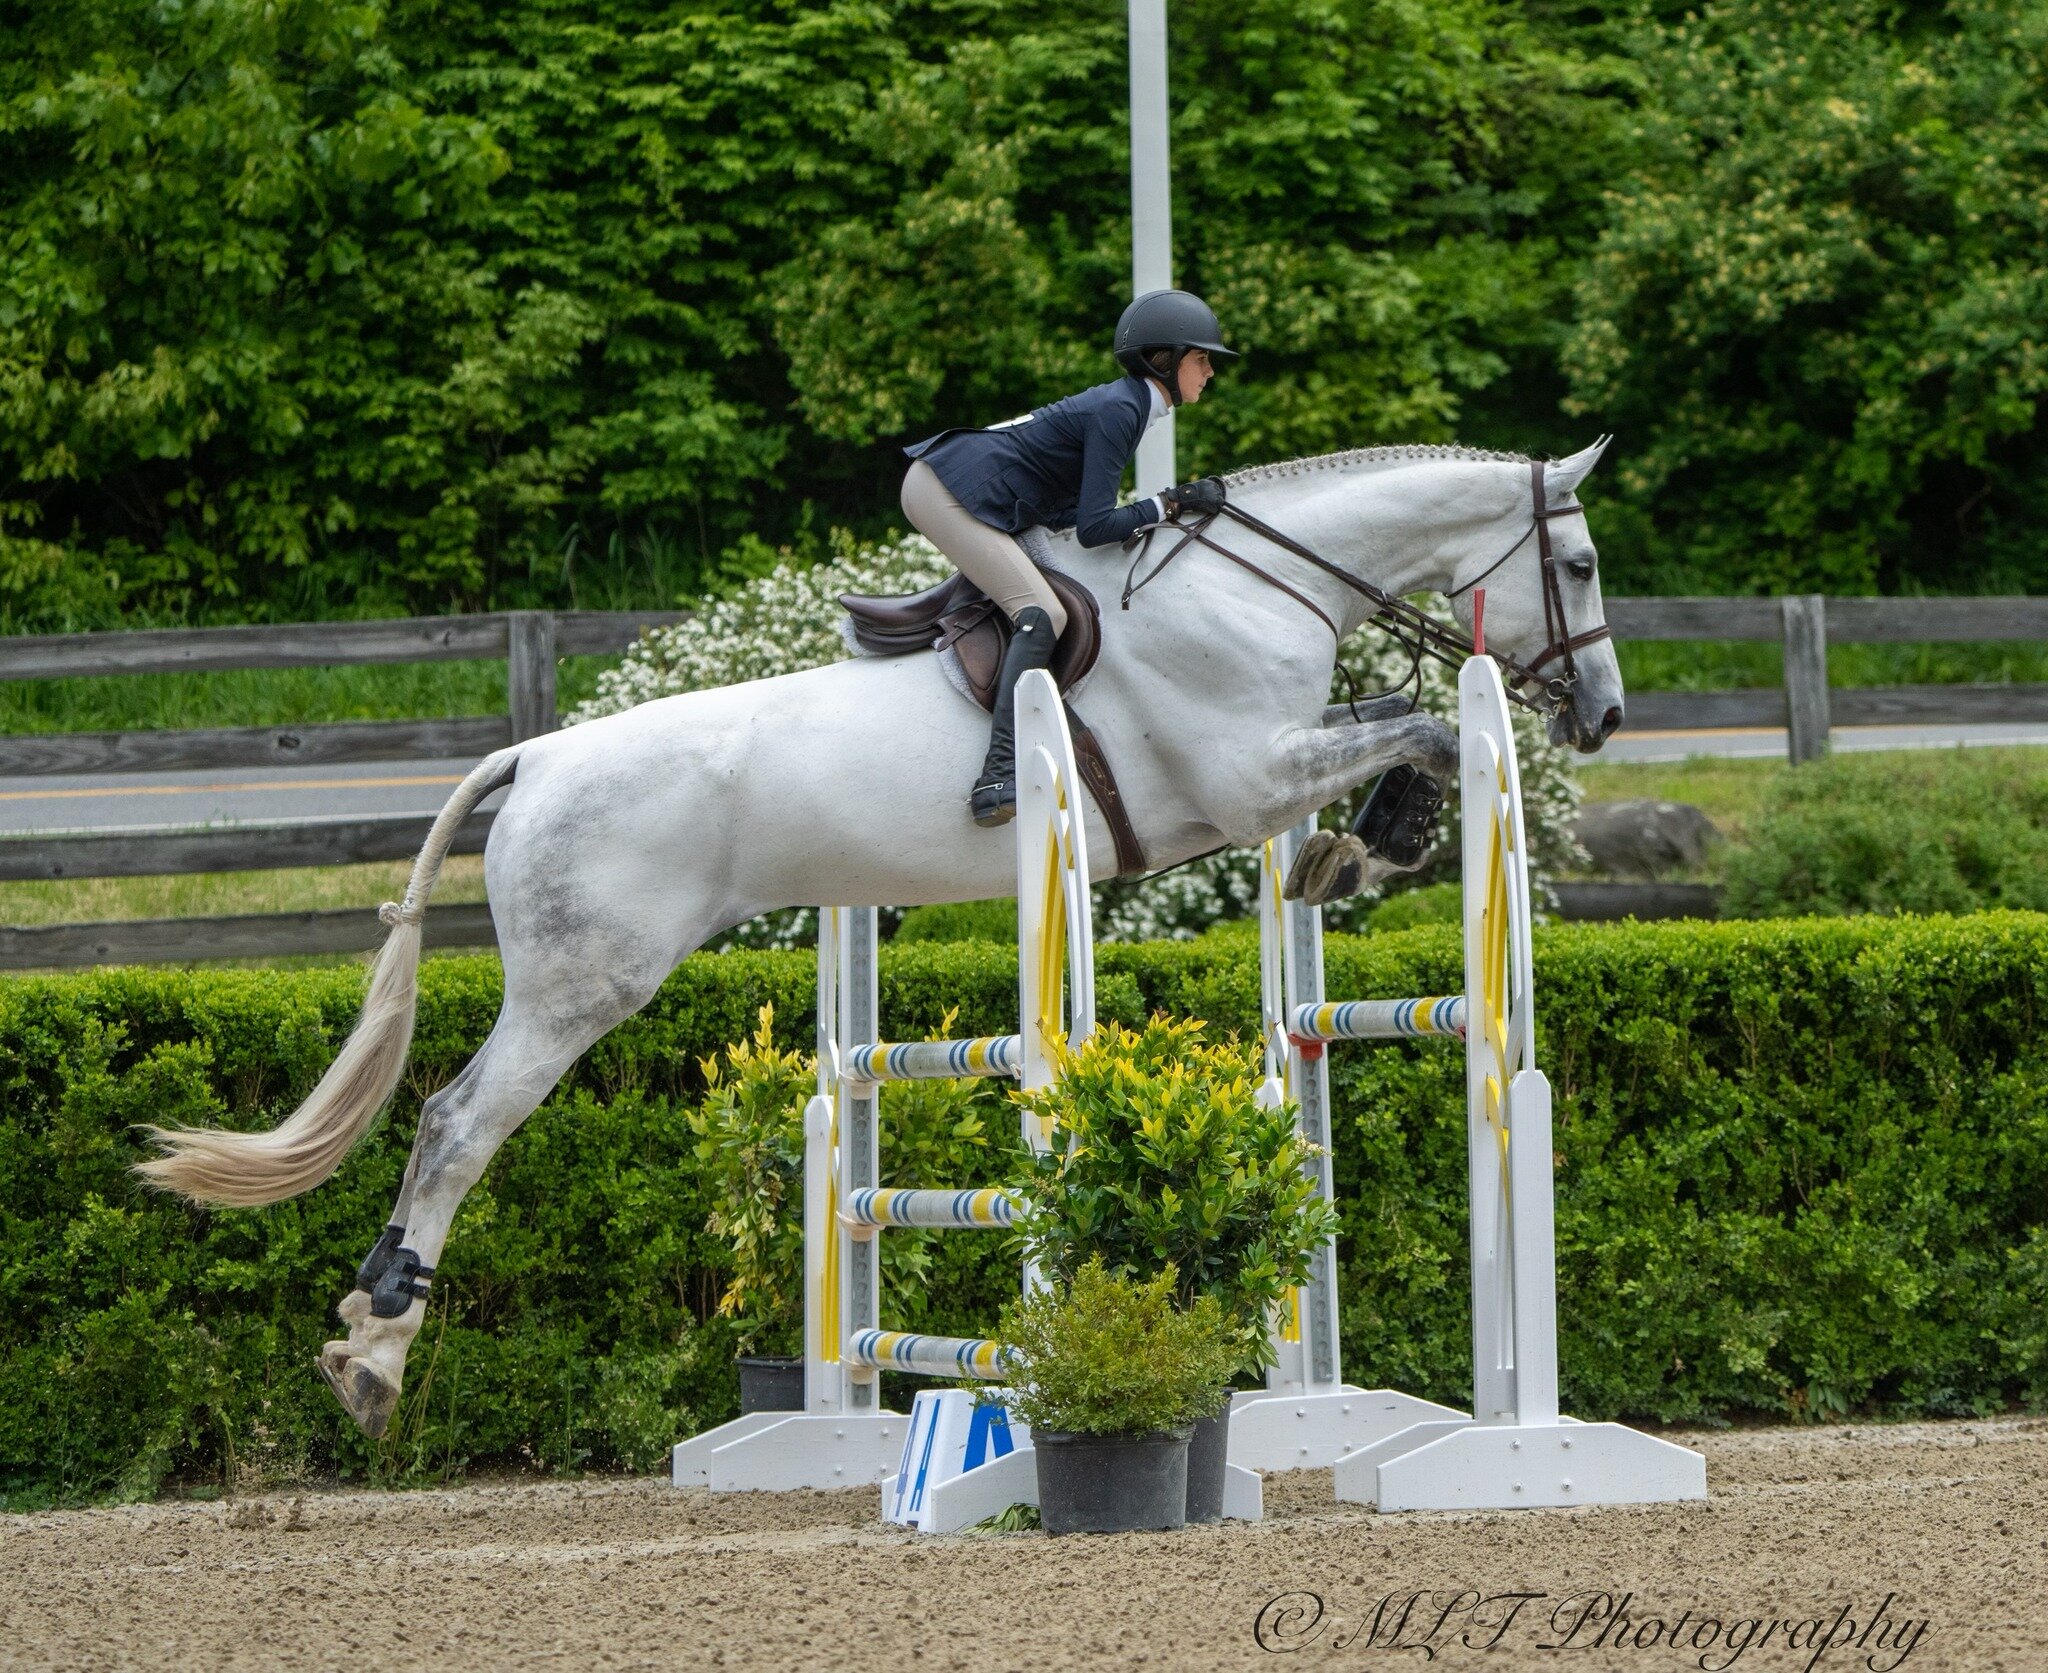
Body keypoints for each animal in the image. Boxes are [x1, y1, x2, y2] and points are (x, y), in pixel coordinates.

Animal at [136, 434, 1622, 1433]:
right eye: (1580, 561)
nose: (1603, 713)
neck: (1256, 583)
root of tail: (538, 753)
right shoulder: (1244, 774)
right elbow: (1416, 720)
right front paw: (1381, 830)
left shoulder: (1266, 768)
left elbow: (1393, 722)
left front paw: (1356, 842)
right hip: (582, 985)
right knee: (456, 1124)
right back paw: (373, 1351)